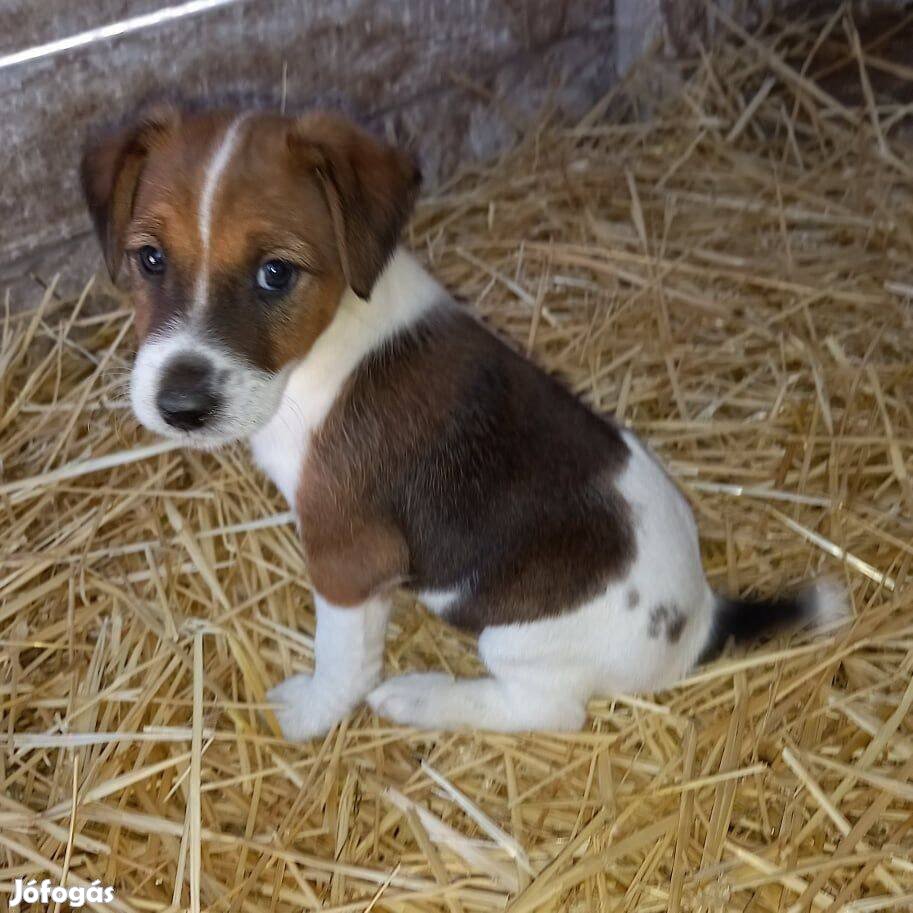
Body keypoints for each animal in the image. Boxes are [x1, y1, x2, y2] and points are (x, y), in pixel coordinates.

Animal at [78, 108, 840, 732]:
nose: (181, 406)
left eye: (275, 273)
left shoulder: (347, 553)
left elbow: (343, 658)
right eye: (150, 259)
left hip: (517, 637)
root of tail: (702, 617)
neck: (326, 342)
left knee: (547, 711)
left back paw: (423, 697)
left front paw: (314, 714)